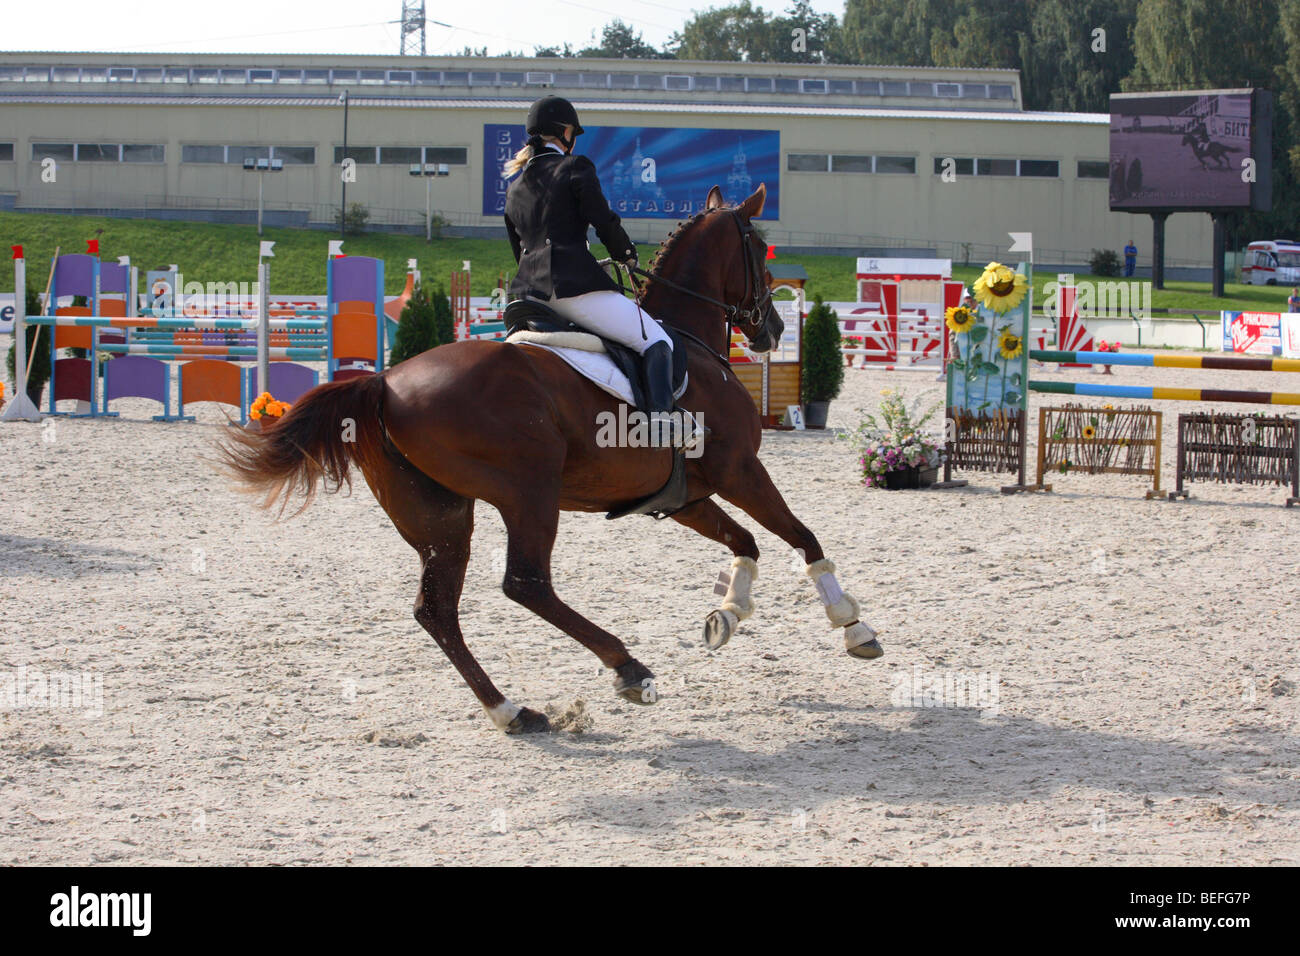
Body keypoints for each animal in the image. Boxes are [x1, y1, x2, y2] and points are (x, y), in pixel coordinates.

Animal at [220, 180, 883, 733]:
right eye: (760, 247)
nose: (773, 330)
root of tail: (384, 383)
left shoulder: (686, 495)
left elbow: (745, 543)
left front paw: (728, 613)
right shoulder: (739, 469)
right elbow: (803, 538)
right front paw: (853, 626)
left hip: (441, 515)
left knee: (438, 610)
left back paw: (512, 710)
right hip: (529, 494)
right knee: (525, 583)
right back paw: (629, 670)